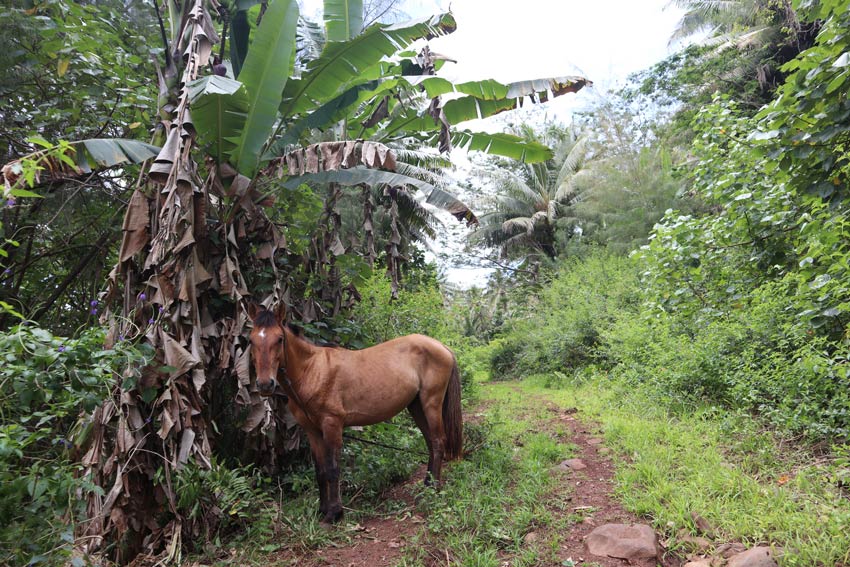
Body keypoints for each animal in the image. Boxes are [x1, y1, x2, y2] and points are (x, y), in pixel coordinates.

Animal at [247, 302, 464, 524]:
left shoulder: (332, 425)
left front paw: (335, 513)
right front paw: (322, 510)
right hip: (416, 406)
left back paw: (434, 490)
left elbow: (333, 469)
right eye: (251, 340)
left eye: (279, 339)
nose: (265, 384)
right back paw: (427, 486)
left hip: (431, 404)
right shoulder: (312, 431)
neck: (312, 371)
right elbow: (320, 471)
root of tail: (442, 347)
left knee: (438, 441)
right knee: (431, 442)